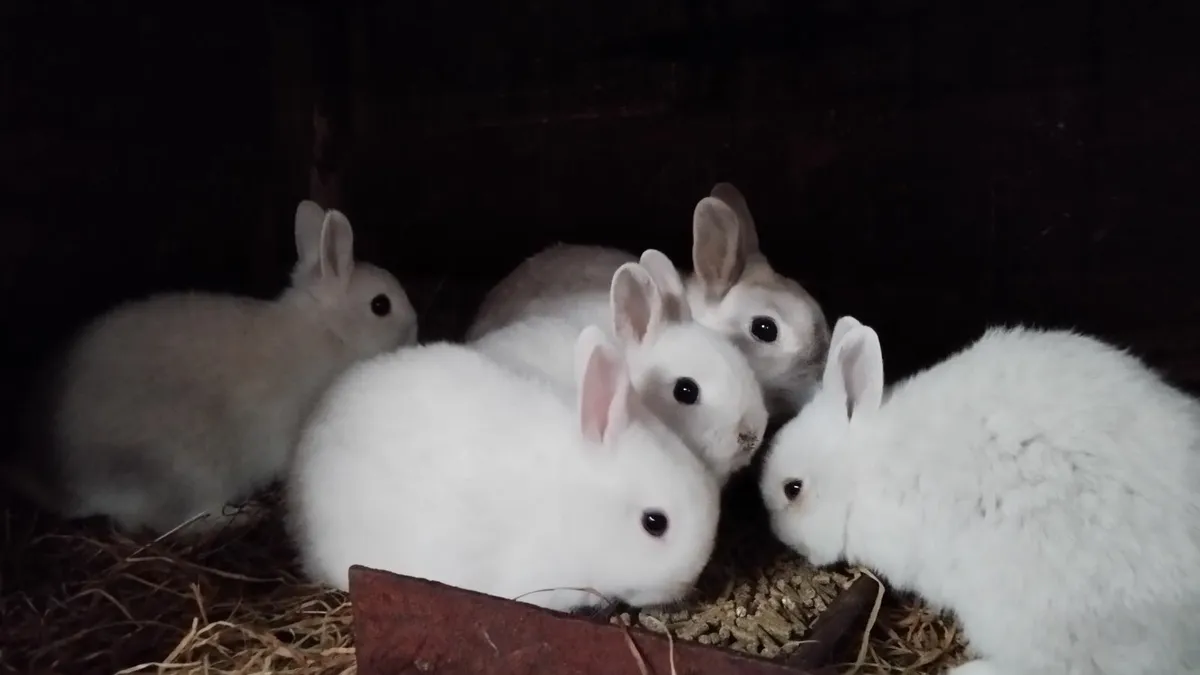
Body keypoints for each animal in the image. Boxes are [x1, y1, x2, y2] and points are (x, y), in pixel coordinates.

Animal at [27, 200, 418, 536]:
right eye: (380, 305)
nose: (415, 329)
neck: (330, 332)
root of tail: (66, 482)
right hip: (191, 469)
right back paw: (247, 515)